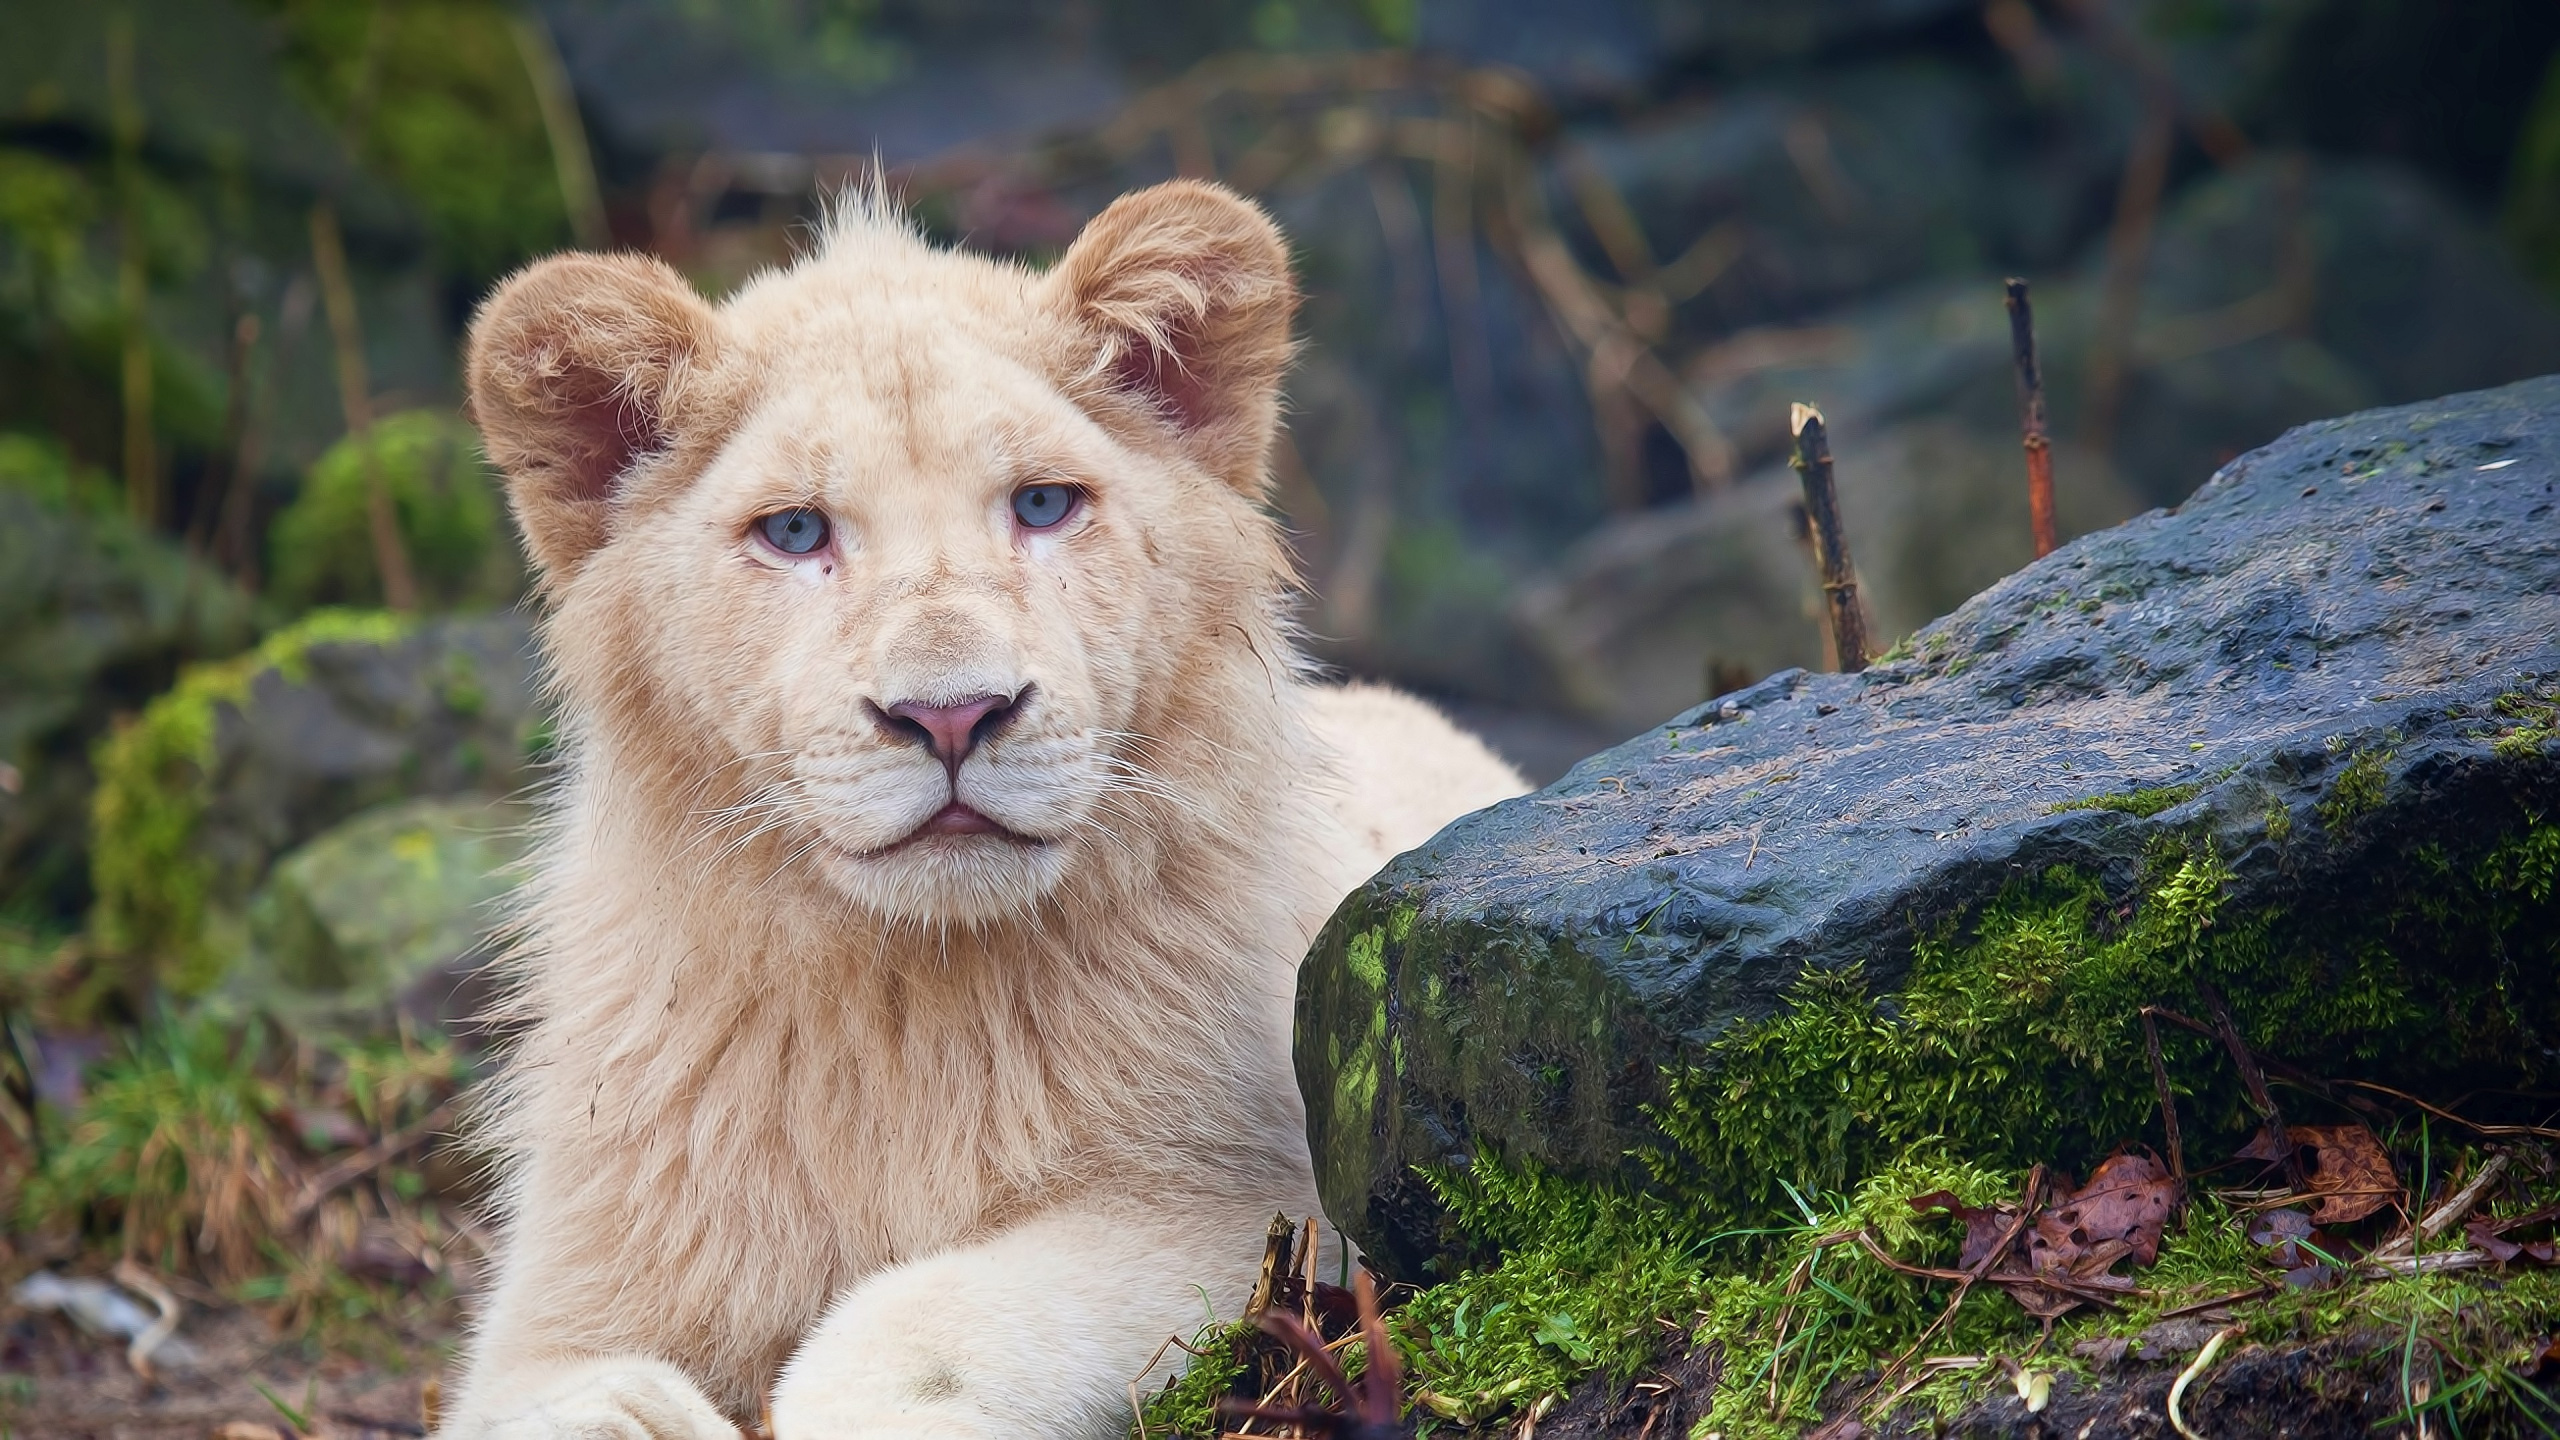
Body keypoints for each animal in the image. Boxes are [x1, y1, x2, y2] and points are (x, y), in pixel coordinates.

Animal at [443, 180, 1527, 1439]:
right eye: (795, 531)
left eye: (1044, 505)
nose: (952, 715)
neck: (908, 1000)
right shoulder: (569, 1293)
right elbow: (547, 1396)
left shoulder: (1254, 1198)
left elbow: (929, 1321)